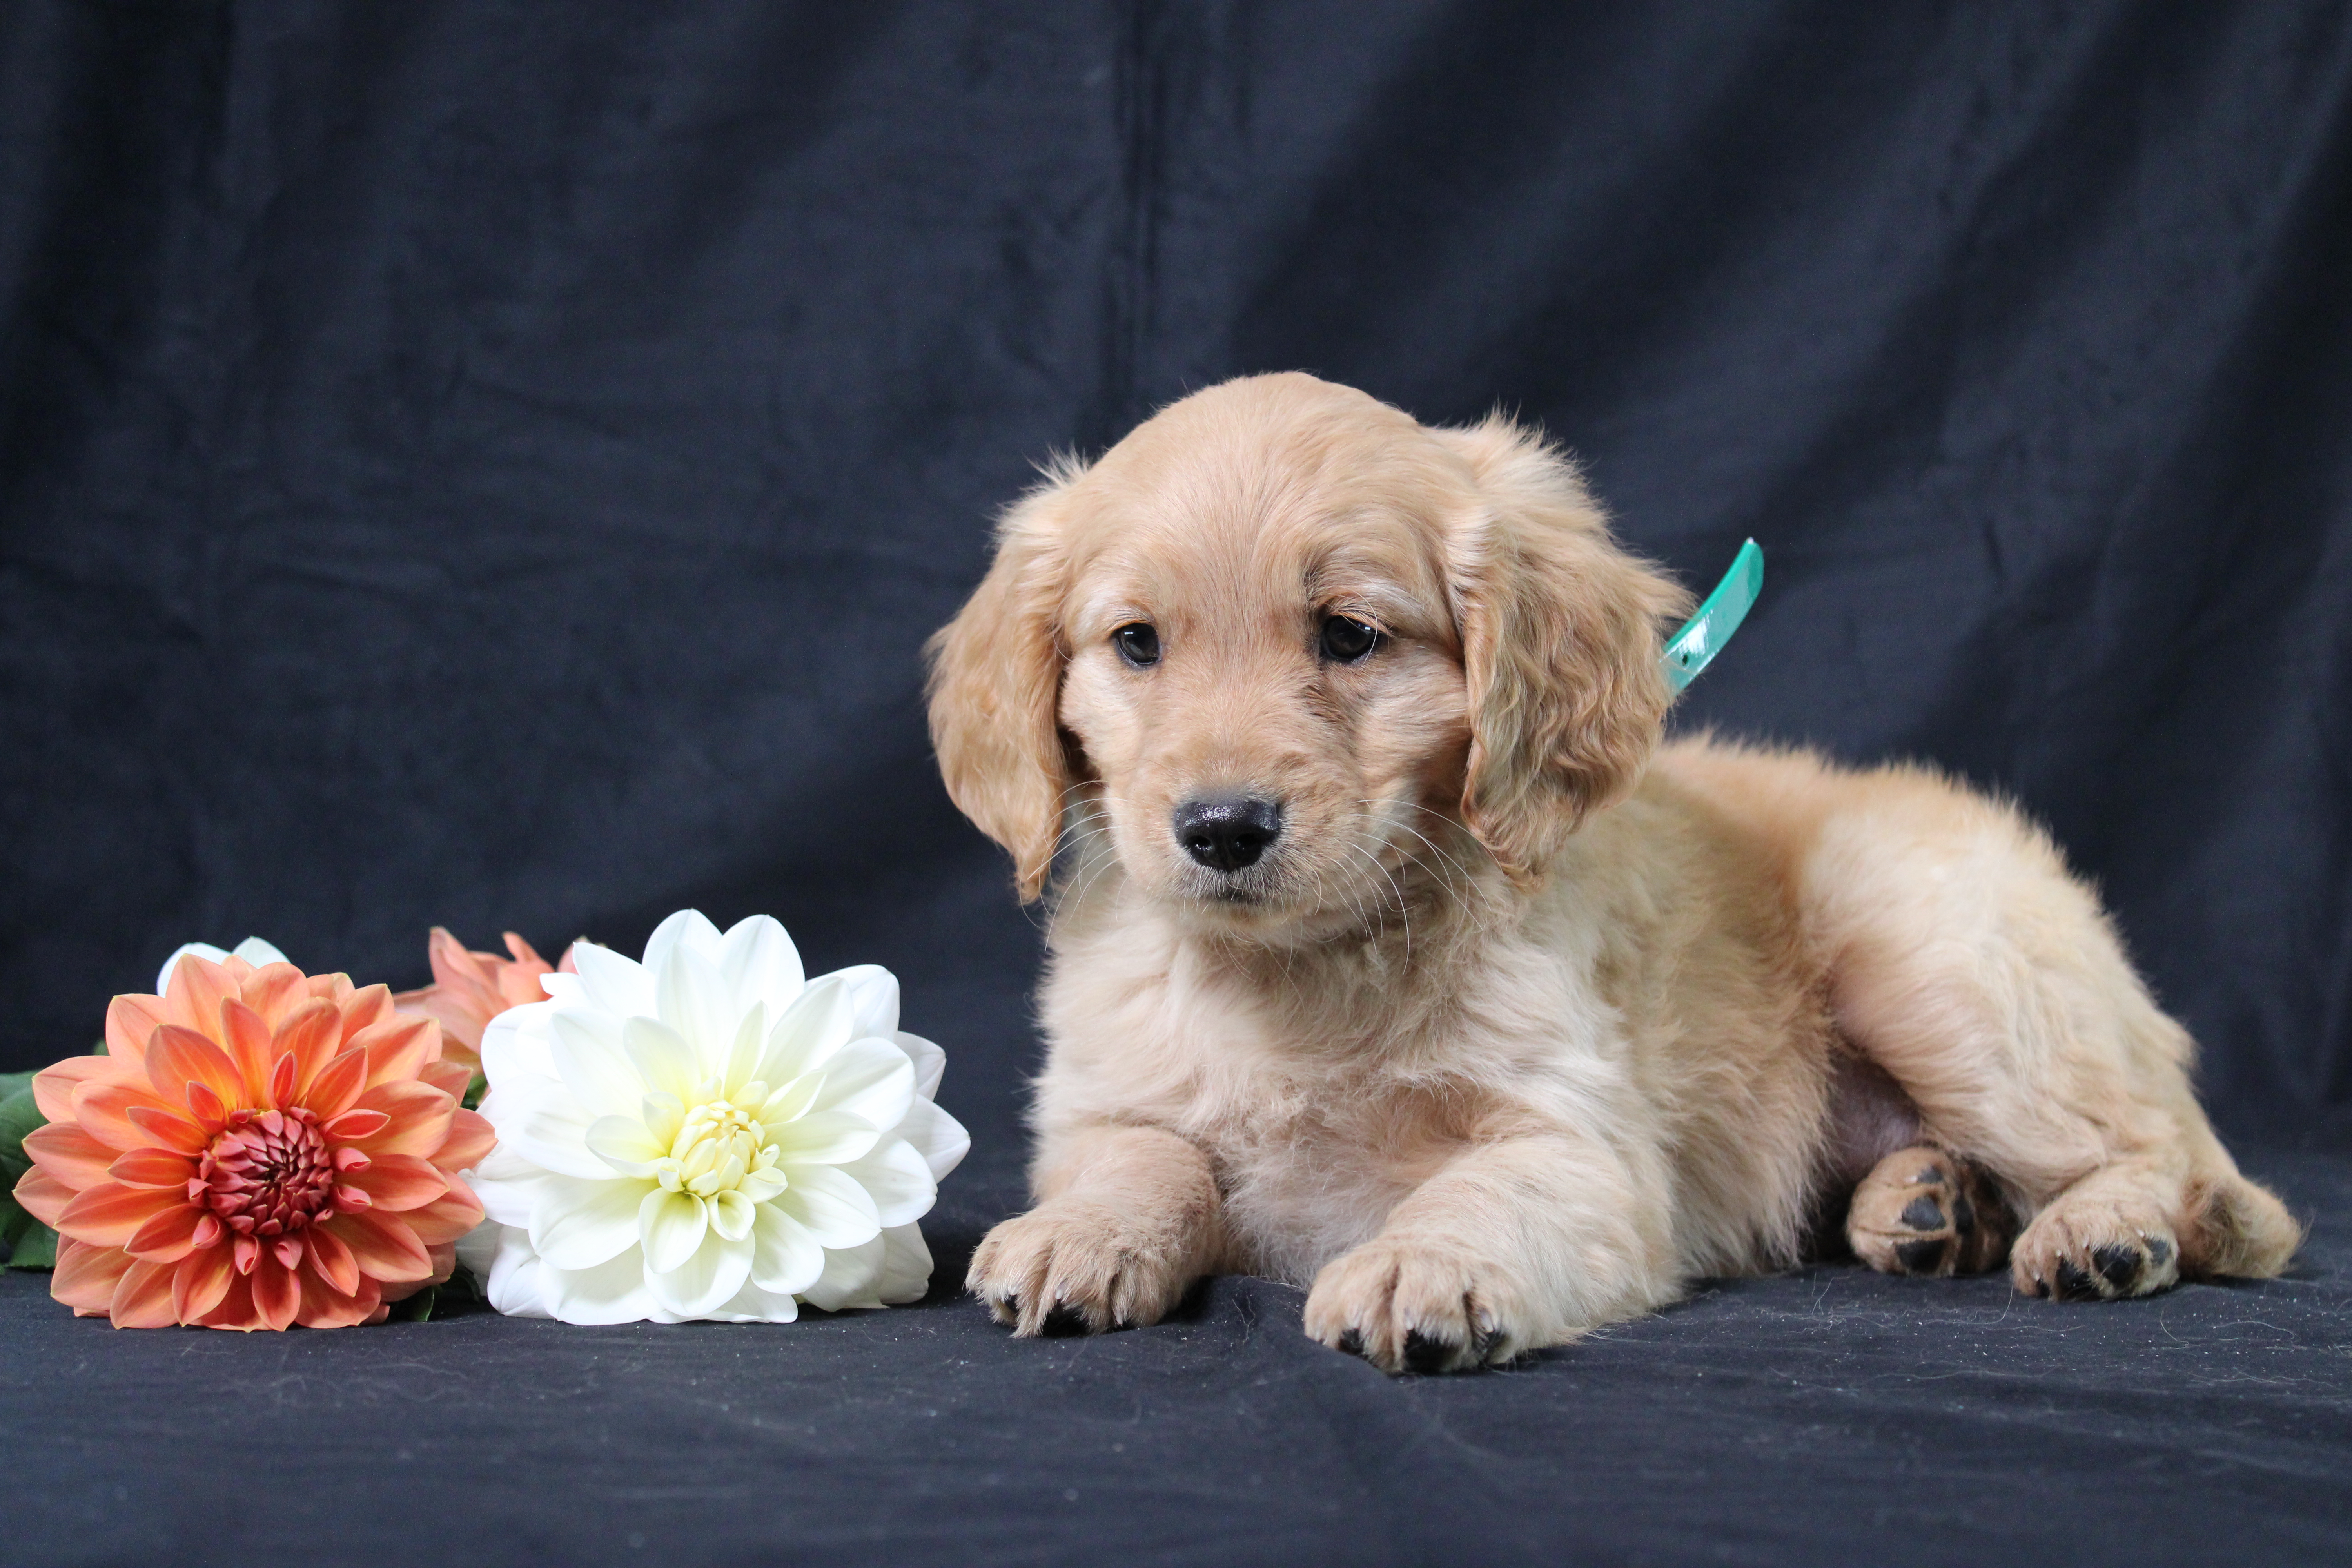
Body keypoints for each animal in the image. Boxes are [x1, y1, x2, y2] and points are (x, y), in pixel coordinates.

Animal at [922, 371, 2296, 1373]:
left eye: (1349, 636)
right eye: (1135, 644)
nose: (1220, 828)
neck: (1306, 971)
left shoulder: (1582, 1142)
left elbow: (1480, 1187)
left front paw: (1421, 1267)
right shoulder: (1105, 1103)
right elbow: (1144, 1159)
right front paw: (1077, 1236)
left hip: (1926, 949)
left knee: (2161, 1150)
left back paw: (2100, 1231)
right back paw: (1924, 1205)